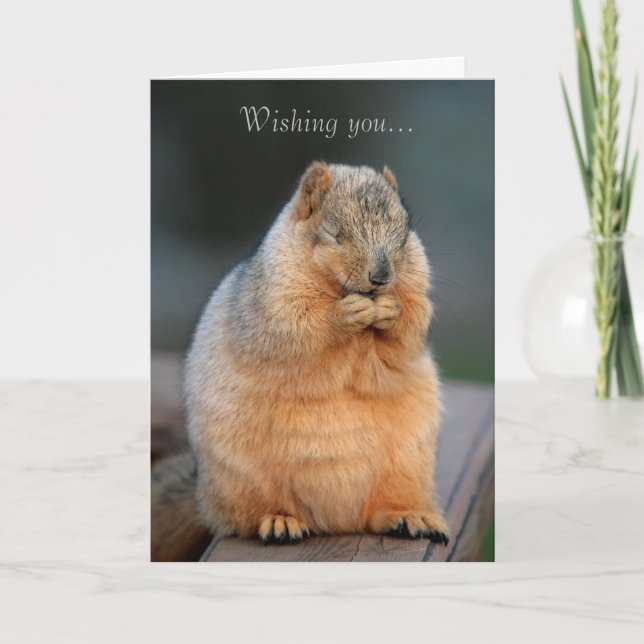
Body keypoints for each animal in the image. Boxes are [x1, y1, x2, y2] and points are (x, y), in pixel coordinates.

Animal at [151, 162, 448, 559]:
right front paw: (343, 315)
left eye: (404, 235)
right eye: (334, 233)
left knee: (379, 511)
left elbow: (411, 329)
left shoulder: (416, 284)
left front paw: (391, 311)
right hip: (243, 477)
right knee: (247, 518)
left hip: (408, 464)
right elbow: (295, 328)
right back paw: (280, 521)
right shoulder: (273, 295)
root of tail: (336, 521)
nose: (381, 278)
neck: (339, 287)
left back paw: (407, 516)